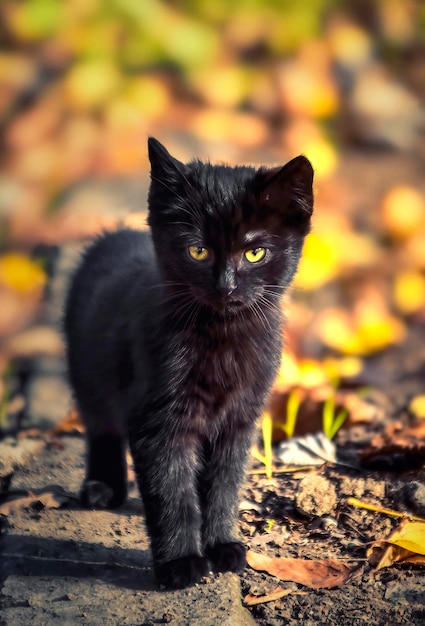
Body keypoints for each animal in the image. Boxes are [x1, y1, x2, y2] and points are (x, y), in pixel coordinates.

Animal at [64, 136, 314, 584]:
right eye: (198, 250)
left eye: (255, 252)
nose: (225, 286)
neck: (221, 338)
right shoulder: (157, 420)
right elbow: (171, 491)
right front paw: (181, 563)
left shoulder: (240, 420)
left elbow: (223, 486)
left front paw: (221, 546)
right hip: (86, 376)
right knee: (101, 427)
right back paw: (103, 488)